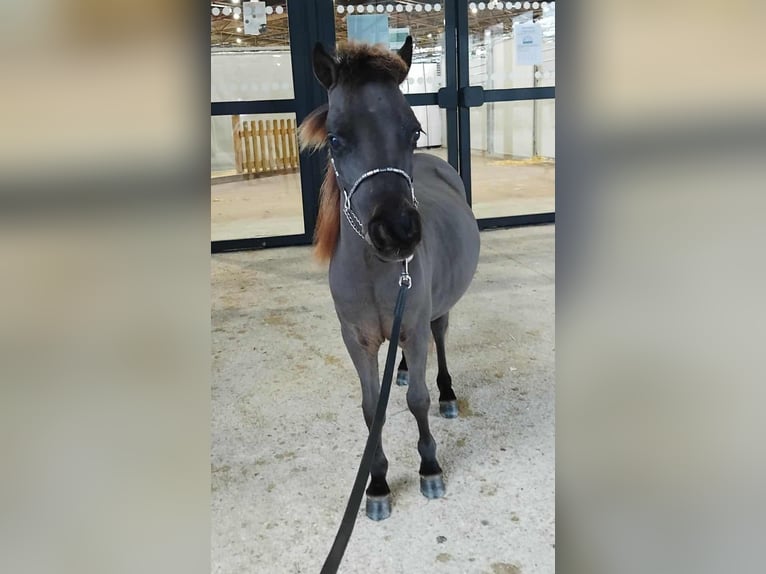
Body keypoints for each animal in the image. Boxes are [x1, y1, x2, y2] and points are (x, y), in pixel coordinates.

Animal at [299, 37, 480, 521]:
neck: (373, 269)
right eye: (336, 139)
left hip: (437, 314)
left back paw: (447, 393)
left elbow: (418, 399)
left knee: (440, 339)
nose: (398, 232)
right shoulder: (356, 339)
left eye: (413, 131)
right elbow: (370, 409)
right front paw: (377, 484)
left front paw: (429, 468)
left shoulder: (413, 327)